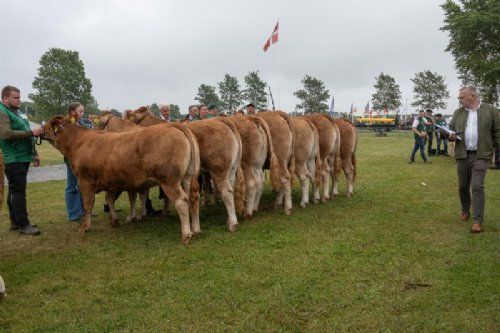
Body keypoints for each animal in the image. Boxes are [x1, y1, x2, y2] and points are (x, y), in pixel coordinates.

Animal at [42, 115, 199, 243]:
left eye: (46, 125)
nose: (40, 131)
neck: (78, 142)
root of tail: (172, 125)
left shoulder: (85, 181)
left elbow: (88, 205)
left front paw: (85, 228)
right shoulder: (110, 181)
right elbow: (110, 200)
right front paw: (114, 221)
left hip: (169, 179)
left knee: (181, 201)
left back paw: (186, 235)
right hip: (187, 177)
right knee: (192, 198)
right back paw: (195, 229)